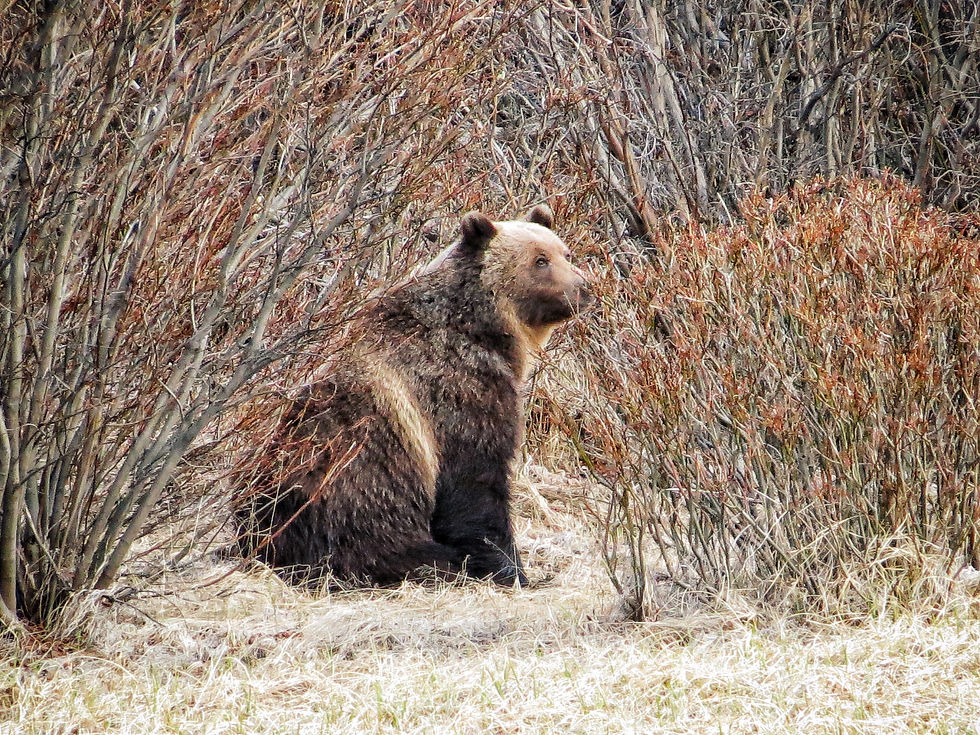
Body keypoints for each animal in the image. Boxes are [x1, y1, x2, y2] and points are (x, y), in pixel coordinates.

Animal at [236, 204, 592, 588]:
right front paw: (510, 569)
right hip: (351, 501)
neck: (486, 330)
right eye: (540, 260)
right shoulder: (457, 394)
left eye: (565, 253)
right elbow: (475, 486)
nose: (584, 287)